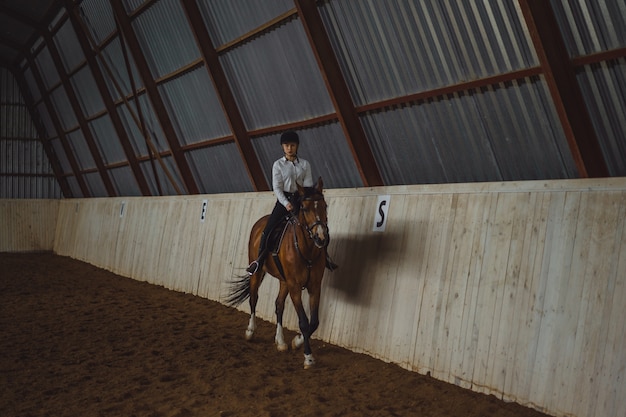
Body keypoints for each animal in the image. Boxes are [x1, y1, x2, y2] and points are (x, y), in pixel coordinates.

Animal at [227, 176, 330, 368]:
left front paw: (296, 342)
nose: (321, 237)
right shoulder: (295, 287)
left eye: (324, 206)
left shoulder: (314, 287)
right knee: (253, 298)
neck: (306, 250)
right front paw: (308, 356)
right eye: (305, 208)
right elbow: (304, 322)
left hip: (283, 281)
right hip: (258, 273)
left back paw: (280, 341)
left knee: (278, 305)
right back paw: (250, 331)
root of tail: (260, 222)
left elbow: (314, 322)